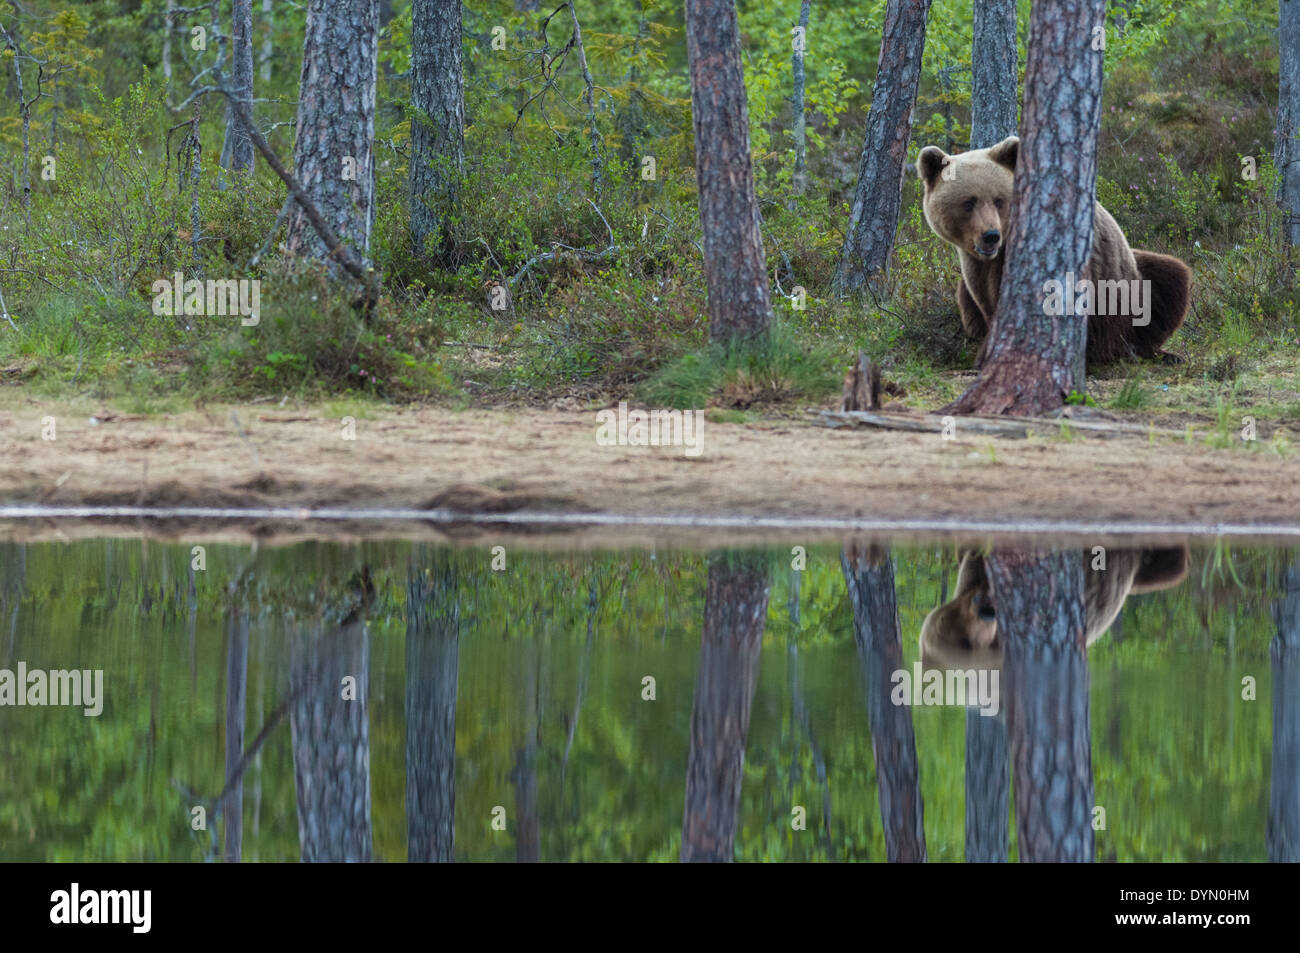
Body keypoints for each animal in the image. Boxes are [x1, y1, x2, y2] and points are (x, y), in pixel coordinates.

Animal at [915, 135, 1190, 366]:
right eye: (969, 202)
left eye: (998, 200)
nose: (991, 235)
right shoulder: (977, 270)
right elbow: (981, 300)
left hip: (1128, 284)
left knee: (1169, 281)